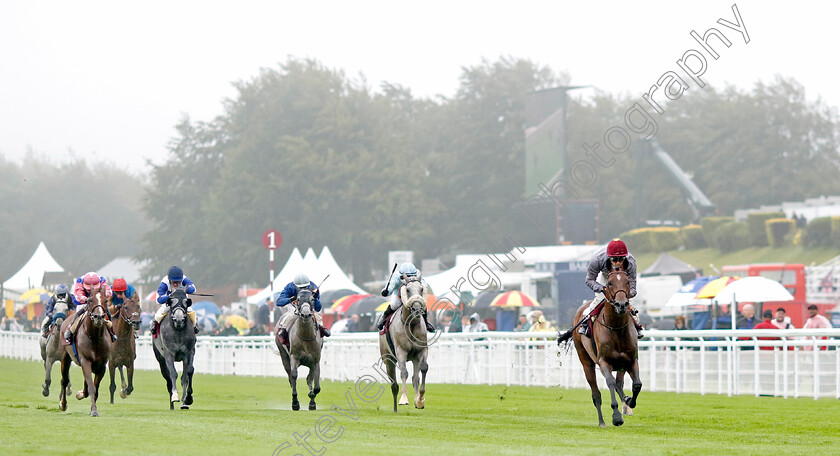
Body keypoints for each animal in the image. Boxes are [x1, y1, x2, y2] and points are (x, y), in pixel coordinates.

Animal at [57, 288, 111, 416]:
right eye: (90, 300)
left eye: (106, 300)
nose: (98, 317)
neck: (95, 337)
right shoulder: (85, 361)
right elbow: (91, 387)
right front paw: (94, 411)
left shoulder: (101, 366)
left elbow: (94, 388)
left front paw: (85, 399)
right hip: (65, 358)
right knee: (64, 380)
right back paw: (63, 404)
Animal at [378, 274, 430, 414]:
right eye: (407, 290)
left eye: (421, 289)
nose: (417, 309)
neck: (411, 324)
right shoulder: (401, 351)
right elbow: (404, 373)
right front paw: (404, 399)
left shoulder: (422, 350)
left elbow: (423, 369)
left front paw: (420, 400)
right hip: (388, 359)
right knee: (394, 384)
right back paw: (395, 407)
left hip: (414, 358)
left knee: (415, 378)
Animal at [568, 266, 640, 426]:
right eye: (610, 283)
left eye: (627, 281)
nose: (621, 304)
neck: (617, 328)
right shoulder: (604, 362)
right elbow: (610, 383)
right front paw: (616, 416)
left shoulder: (631, 360)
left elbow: (636, 384)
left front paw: (630, 401)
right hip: (586, 361)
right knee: (596, 394)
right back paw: (602, 422)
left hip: (621, 365)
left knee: (620, 383)